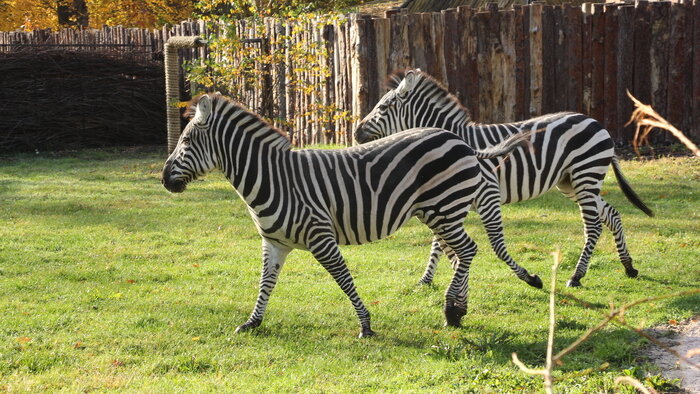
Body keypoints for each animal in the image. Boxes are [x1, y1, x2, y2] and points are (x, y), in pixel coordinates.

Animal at [160, 94, 532, 338]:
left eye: (187, 141)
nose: (163, 179)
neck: (273, 178)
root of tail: (460, 140)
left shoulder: (320, 236)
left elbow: (343, 278)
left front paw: (366, 325)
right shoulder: (274, 242)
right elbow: (265, 282)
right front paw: (253, 322)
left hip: (444, 208)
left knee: (467, 251)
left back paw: (451, 310)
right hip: (440, 212)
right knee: (459, 255)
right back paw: (458, 311)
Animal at [356, 69, 656, 288]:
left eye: (383, 107)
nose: (356, 132)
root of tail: (595, 122)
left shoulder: (484, 194)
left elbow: (493, 245)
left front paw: (529, 278)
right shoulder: (449, 199)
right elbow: (438, 243)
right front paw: (426, 280)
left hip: (585, 176)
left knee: (593, 225)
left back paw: (577, 276)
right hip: (571, 183)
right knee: (612, 215)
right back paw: (628, 267)